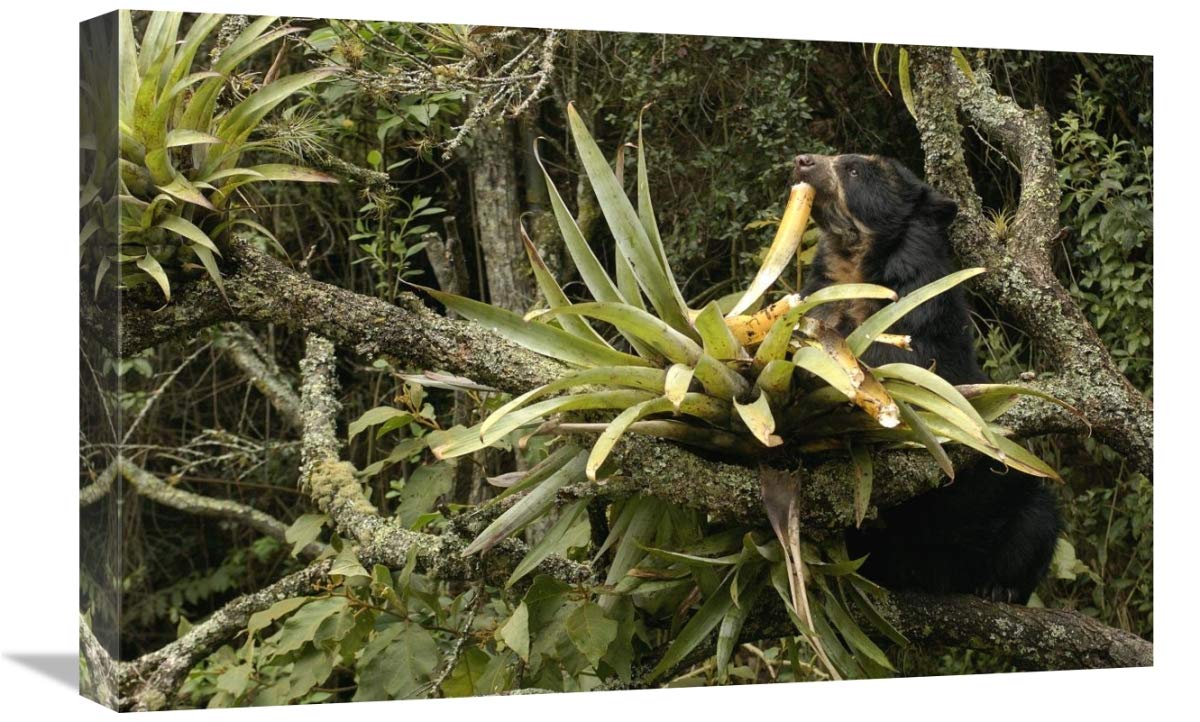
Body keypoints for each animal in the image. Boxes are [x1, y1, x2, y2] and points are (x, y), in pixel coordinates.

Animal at [792, 152, 1060, 603]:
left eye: (853, 169)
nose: (802, 162)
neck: (854, 267)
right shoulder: (822, 293)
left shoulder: (921, 308)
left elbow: (906, 362)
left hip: (1016, 496)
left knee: (1039, 522)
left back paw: (998, 588)